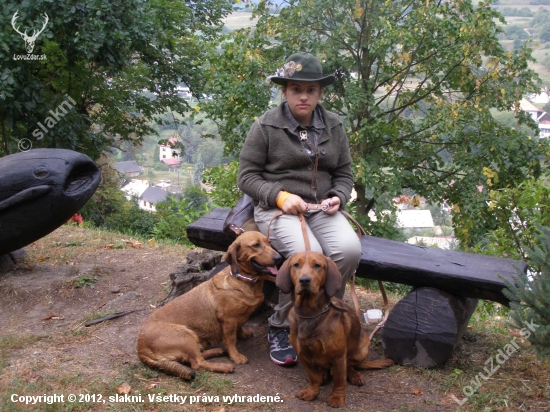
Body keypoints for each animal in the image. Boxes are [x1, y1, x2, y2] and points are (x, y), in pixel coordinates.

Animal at [136, 230, 282, 378]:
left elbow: (240, 327)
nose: (279, 258)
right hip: (186, 336)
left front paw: (243, 334)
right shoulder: (228, 321)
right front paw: (235, 357)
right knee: (197, 363)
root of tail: (141, 349)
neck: (243, 280)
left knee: (194, 358)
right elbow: (231, 341)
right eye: (256, 245)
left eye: (269, 242)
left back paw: (217, 351)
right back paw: (224, 366)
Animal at [278, 249, 394, 408]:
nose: (304, 280)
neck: (309, 314)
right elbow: (313, 377)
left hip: (362, 346)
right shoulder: (303, 355)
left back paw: (354, 375)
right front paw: (312, 392)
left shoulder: (338, 356)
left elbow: (339, 380)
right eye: (296, 265)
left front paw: (337, 397)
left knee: (351, 365)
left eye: (317, 265)